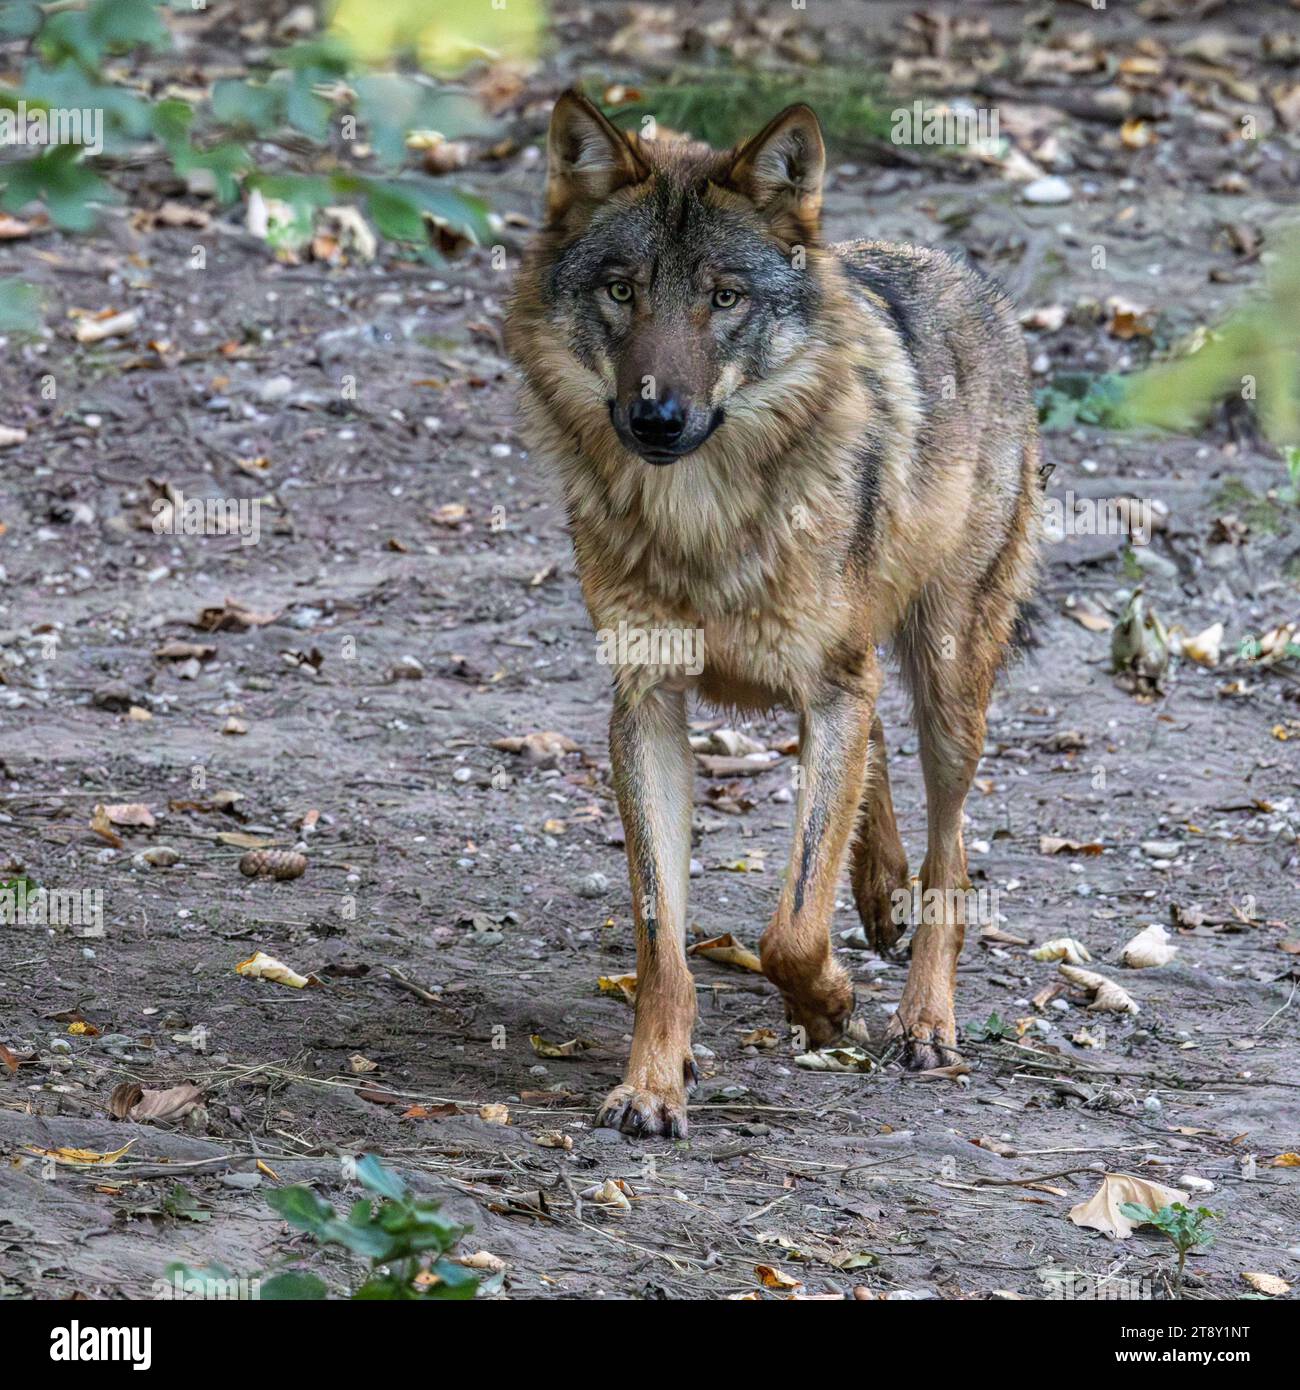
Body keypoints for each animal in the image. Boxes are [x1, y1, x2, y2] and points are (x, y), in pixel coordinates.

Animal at [505, 91, 1041, 1137]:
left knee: (952, 854)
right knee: (879, 788)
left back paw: (925, 1021)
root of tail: (971, 281)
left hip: (948, 682)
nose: (656, 417)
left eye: (723, 298)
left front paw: (829, 1005)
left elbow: (790, 926)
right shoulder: (648, 701)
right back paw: (877, 897)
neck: (701, 522)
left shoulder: (831, 690)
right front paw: (652, 1086)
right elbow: (662, 941)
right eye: (623, 291)